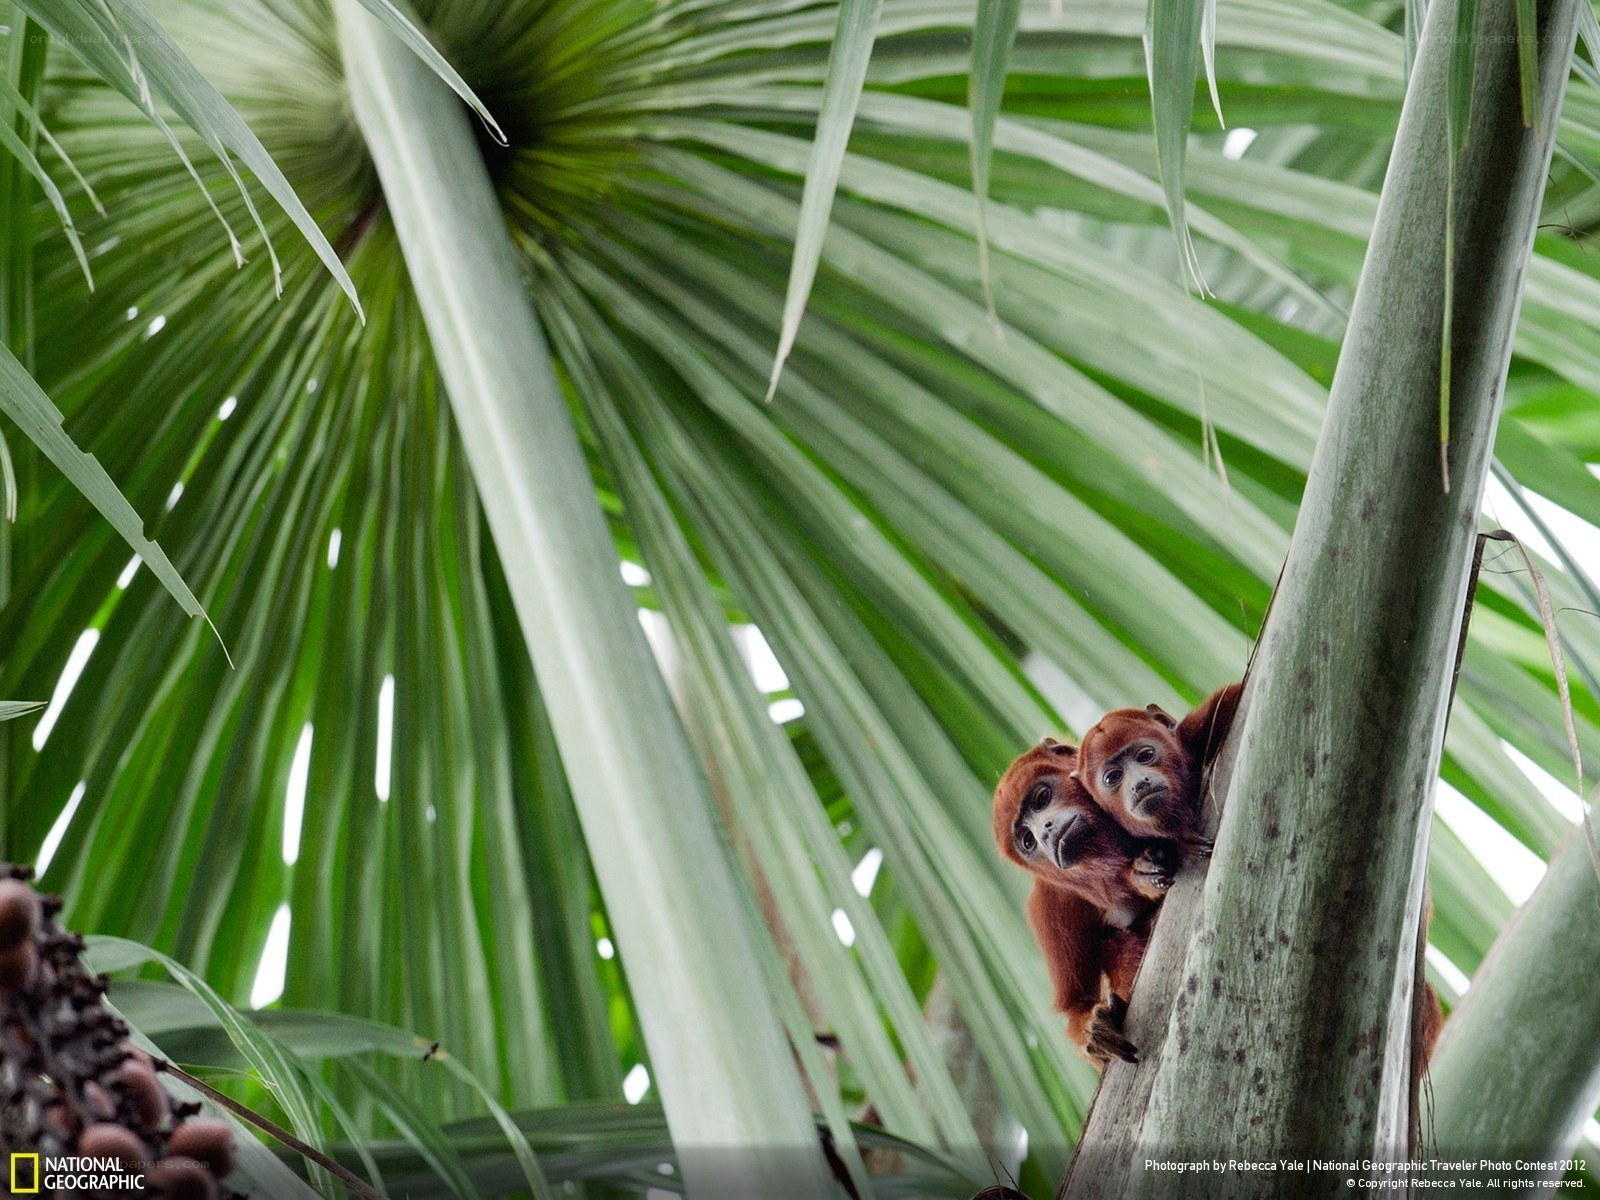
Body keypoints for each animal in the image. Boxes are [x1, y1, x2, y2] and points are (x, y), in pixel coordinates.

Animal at [993, 737, 1178, 1065]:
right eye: (1027, 841)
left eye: (1041, 798)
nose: (1045, 832)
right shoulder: (1051, 906)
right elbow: (1077, 1003)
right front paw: (1095, 1033)